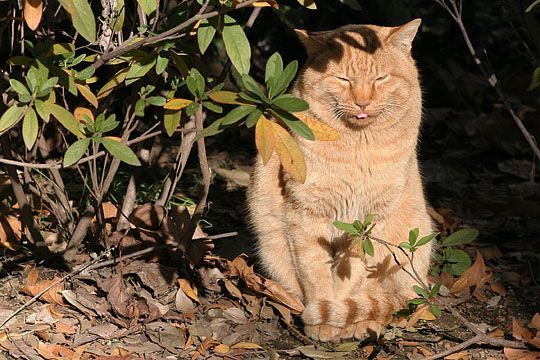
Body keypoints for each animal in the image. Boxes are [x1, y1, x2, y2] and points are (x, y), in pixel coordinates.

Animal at [247, 20, 432, 344]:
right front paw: (322, 319)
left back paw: (362, 323)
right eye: (343, 79)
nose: (362, 102)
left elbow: (351, 276)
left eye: (380, 78)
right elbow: (315, 273)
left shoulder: (368, 222)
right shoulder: (307, 215)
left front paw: (336, 317)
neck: (358, 146)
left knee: (383, 299)